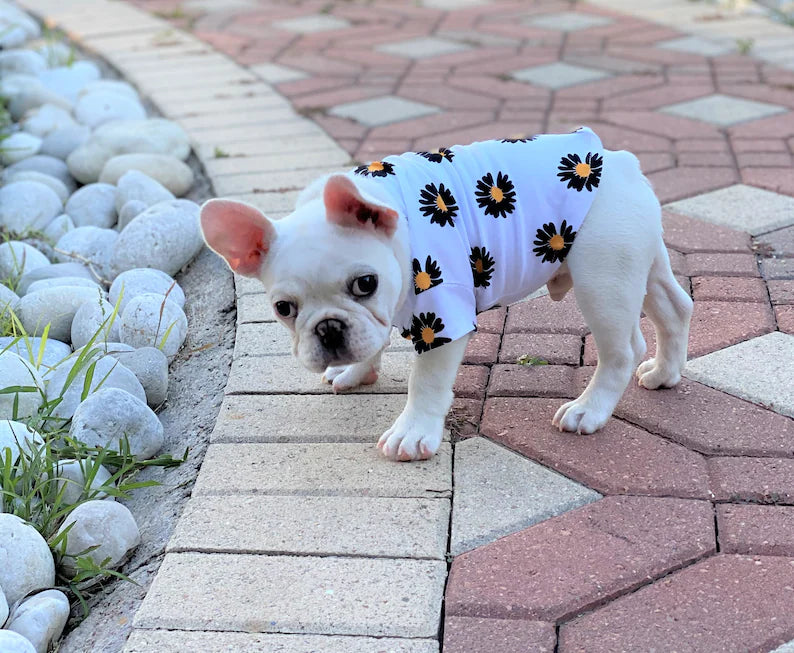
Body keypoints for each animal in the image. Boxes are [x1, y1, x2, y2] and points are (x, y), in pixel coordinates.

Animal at [201, 127, 688, 460]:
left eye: (365, 284)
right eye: (283, 308)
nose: (329, 330)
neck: (398, 226)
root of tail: (620, 162)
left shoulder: (440, 319)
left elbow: (427, 381)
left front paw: (413, 432)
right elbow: (372, 340)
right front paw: (356, 370)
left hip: (603, 278)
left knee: (623, 349)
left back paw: (589, 410)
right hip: (640, 262)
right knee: (675, 307)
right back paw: (664, 373)